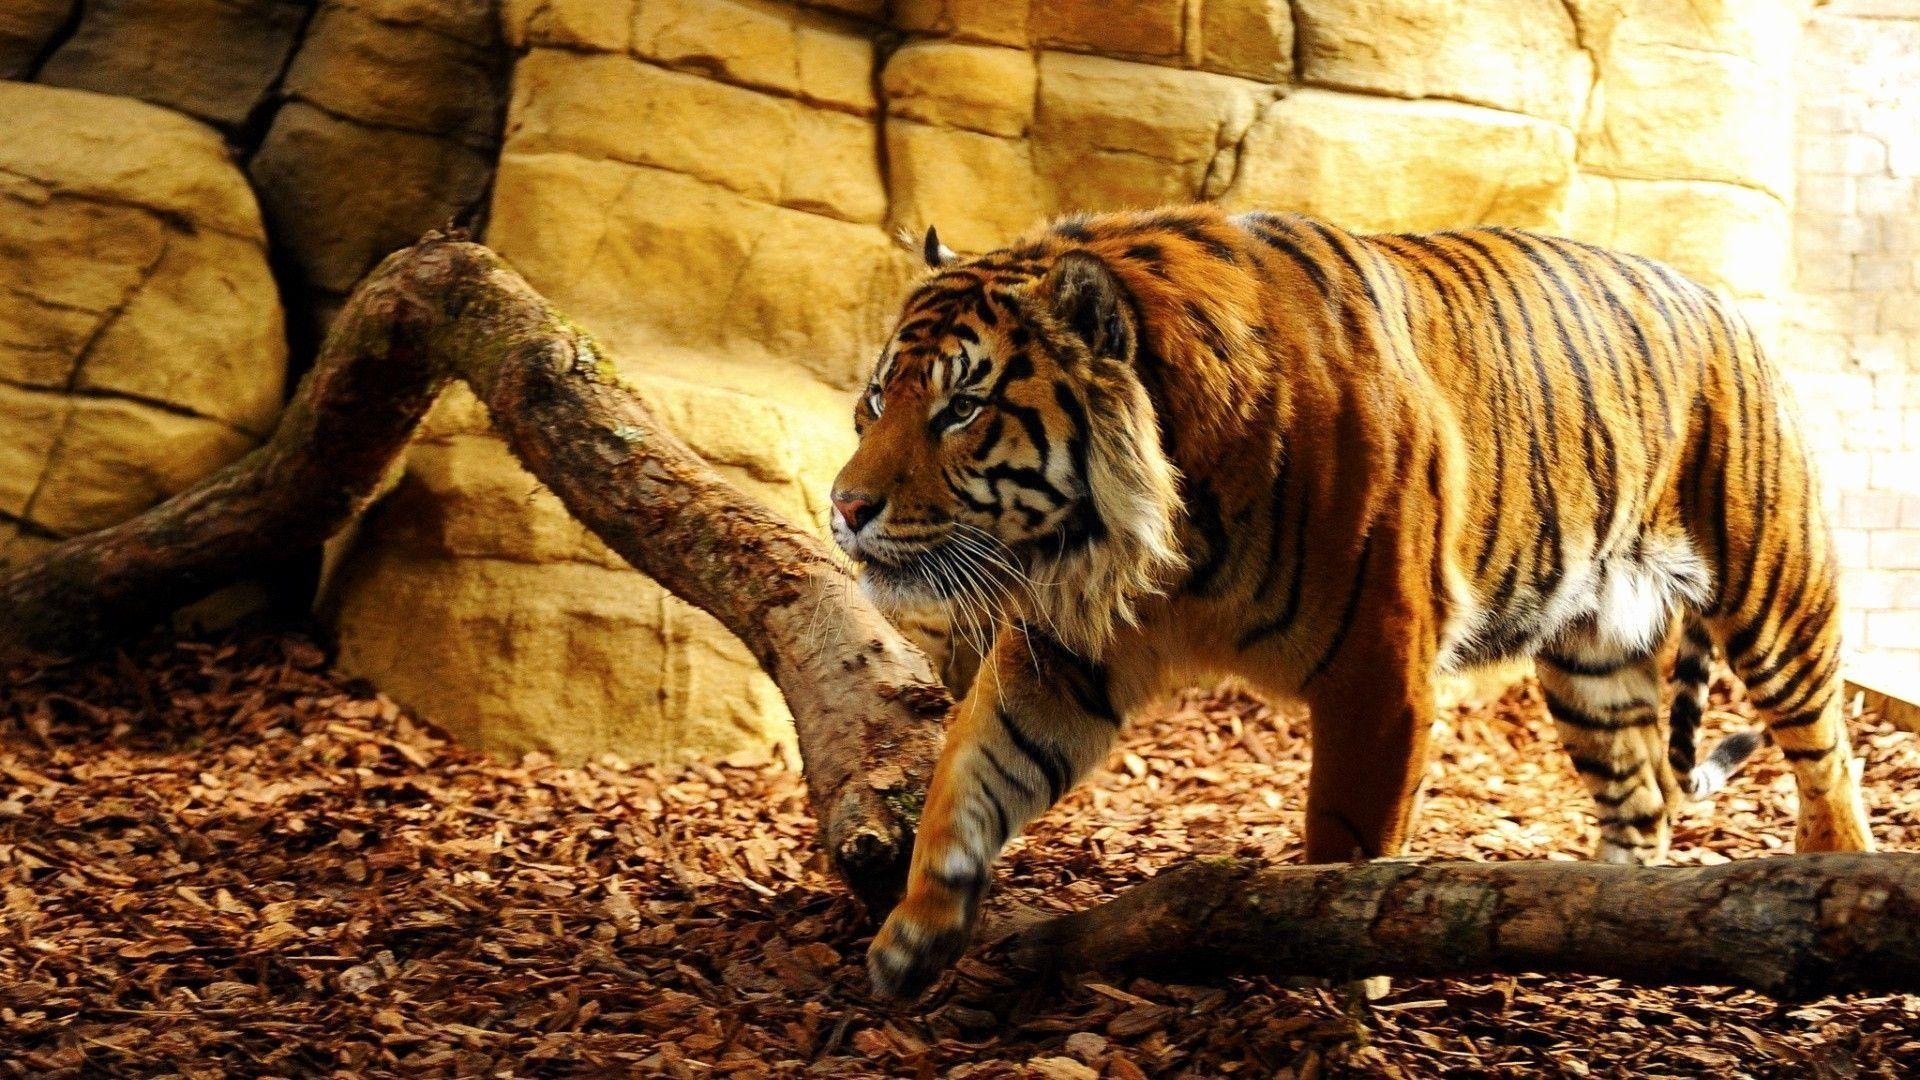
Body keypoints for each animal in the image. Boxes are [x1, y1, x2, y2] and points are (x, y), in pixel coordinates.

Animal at [827, 205, 1875, 1000]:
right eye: (876, 400)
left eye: (962, 409)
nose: (843, 507)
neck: (1151, 537)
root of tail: (1722, 302)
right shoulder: (1065, 649)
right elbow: (971, 768)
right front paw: (914, 934)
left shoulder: (1378, 671)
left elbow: (1342, 844)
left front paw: (1329, 985)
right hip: (1592, 658)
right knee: (1644, 794)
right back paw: (1602, 919)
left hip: (1775, 593)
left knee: (1828, 753)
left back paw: (1829, 870)